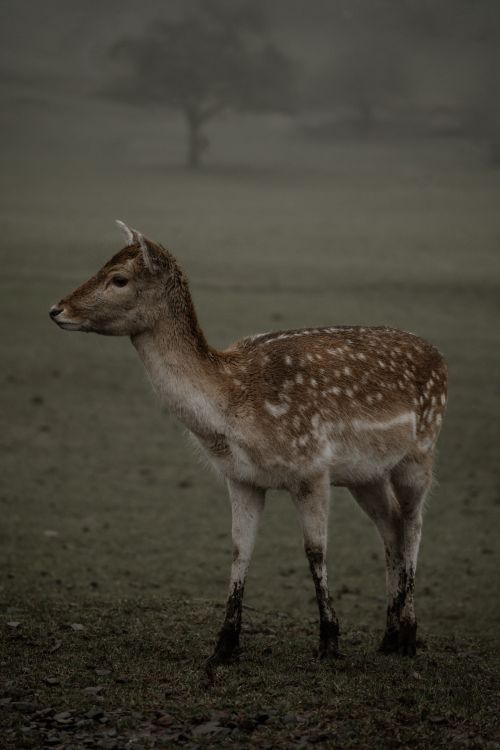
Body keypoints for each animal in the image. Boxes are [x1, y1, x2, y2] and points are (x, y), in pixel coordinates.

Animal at [49, 221, 447, 679]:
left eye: (119, 278)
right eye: (104, 264)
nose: (57, 309)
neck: (233, 409)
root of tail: (441, 359)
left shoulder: (311, 465)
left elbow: (315, 550)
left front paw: (329, 643)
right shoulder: (241, 477)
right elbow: (240, 551)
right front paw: (223, 647)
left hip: (420, 451)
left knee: (413, 522)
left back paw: (409, 637)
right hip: (366, 473)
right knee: (391, 524)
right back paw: (388, 636)